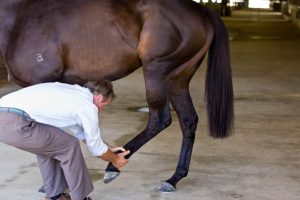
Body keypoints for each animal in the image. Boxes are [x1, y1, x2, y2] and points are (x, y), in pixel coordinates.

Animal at [0, 0, 233, 192]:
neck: (20, 17)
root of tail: (201, 10)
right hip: (178, 79)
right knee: (188, 120)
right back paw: (174, 178)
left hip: (157, 71)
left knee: (160, 120)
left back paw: (114, 166)